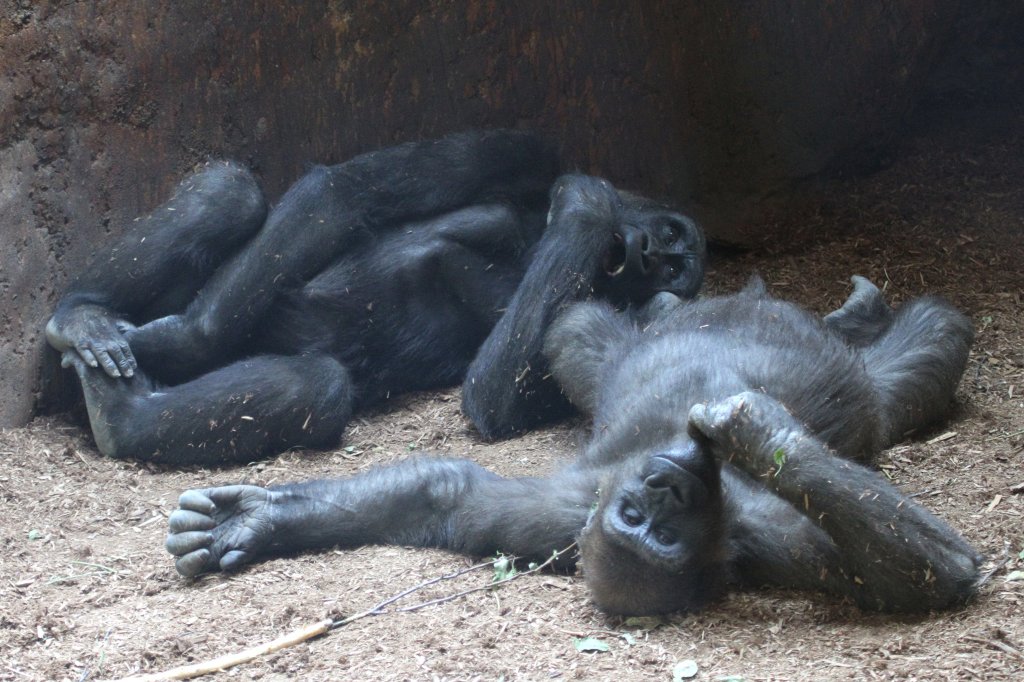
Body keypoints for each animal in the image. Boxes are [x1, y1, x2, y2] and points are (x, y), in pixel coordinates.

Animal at [163, 274, 978, 614]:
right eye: (642, 527)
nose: (664, 485)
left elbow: (446, 497)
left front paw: (255, 519)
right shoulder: (569, 516)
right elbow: (929, 574)